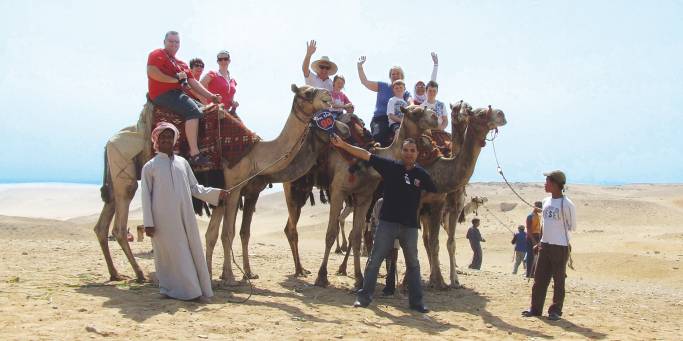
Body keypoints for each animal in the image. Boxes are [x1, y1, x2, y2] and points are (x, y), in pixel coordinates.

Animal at [94, 83, 332, 282]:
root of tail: (108, 142)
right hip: (123, 171)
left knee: (102, 224)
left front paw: (217, 274)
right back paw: (140, 274)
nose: (328, 96)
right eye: (307, 92)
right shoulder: (234, 185)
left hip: (116, 178)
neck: (255, 153)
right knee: (119, 224)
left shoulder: (223, 190)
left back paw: (115, 273)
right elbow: (228, 233)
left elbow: (213, 234)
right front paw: (230, 277)